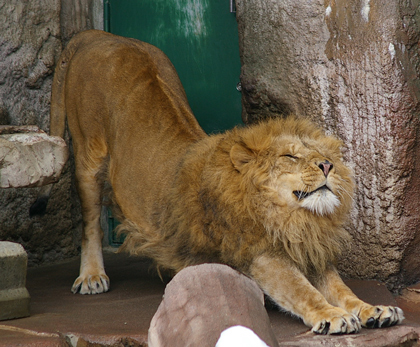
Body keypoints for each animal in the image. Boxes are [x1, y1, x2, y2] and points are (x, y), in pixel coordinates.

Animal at [30, 29, 404, 334]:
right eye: (290, 156)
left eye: (325, 155)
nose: (328, 166)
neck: (293, 218)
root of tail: (97, 35)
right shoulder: (262, 255)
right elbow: (302, 291)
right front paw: (332, 315)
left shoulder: (310, 250)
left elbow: (341, 289)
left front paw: (374, 309)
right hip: (88, 158)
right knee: (90, 221)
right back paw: (92, 276)